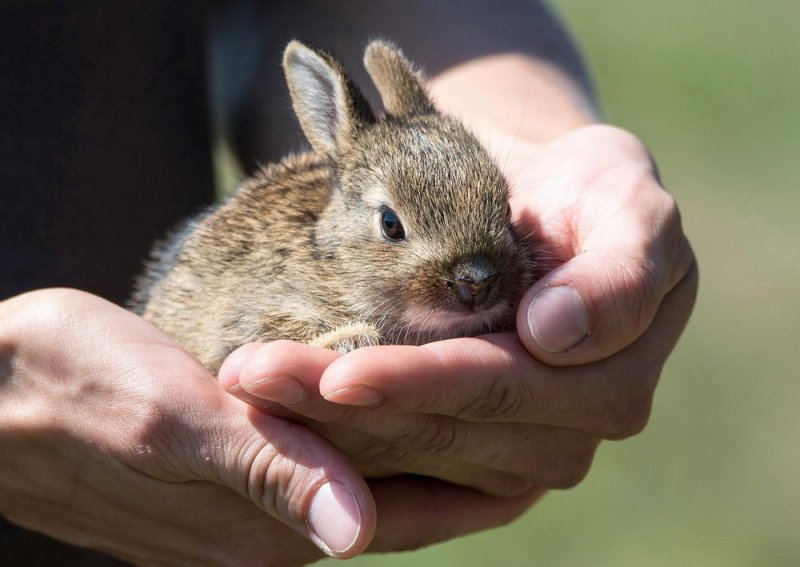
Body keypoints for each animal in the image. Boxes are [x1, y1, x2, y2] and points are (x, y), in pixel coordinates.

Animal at [133, 42, 532, 374]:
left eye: (506, 208)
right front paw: (352, 339)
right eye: (390, 224)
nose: (477, 280)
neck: (335, 265)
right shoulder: (245, 320)